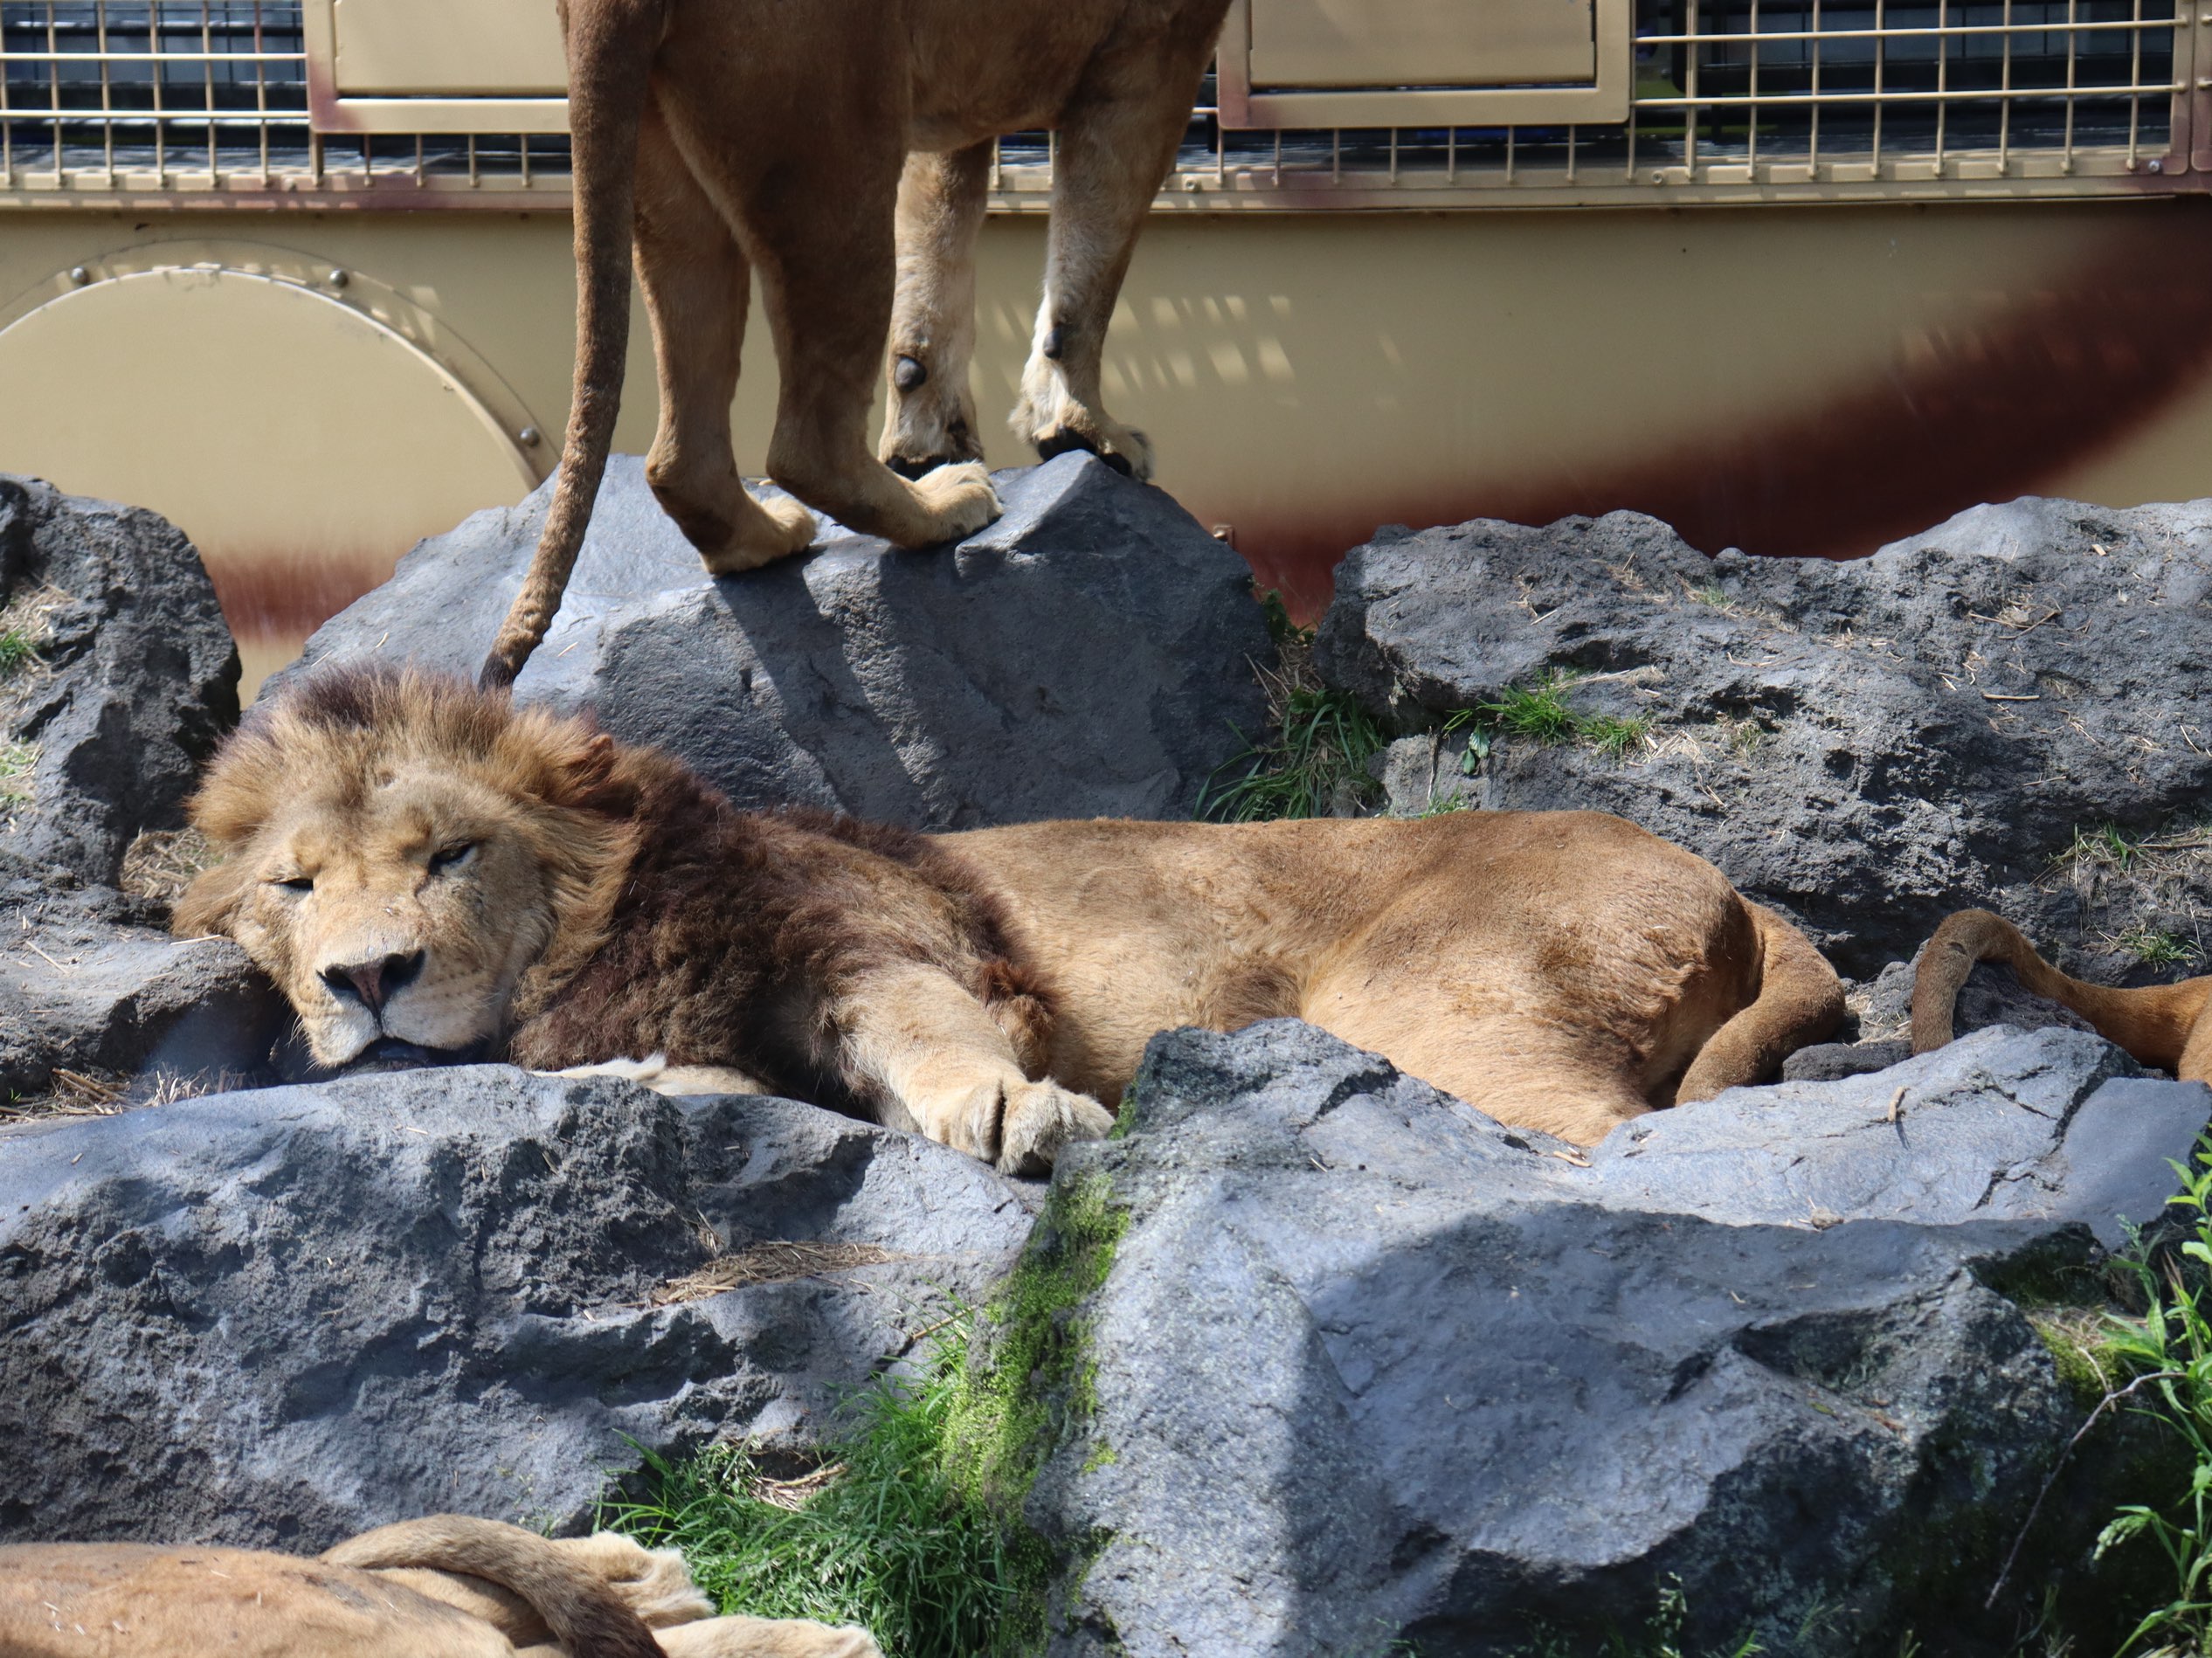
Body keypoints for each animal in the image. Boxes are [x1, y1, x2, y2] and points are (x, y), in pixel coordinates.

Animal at [176, 667, 1849, 1167]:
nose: (367, 978)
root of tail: (1727, 877)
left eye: (451, 854)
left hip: (1424, 1001)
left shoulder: (874, 932)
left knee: (1608, 1140)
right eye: (292, 890)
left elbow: (930, 1025)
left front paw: (1013, 1111)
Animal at [484, 0, 1238, 689]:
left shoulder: (960, 109)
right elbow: (1091, 262)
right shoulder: (1157, 47)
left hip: (670, 186)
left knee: (681, 457)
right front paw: (1081, 428)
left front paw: (930, 435)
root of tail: (601, 7)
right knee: (805, 446)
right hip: (839, 159)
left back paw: (768, 537)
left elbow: (938, 252)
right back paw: (943, 507)